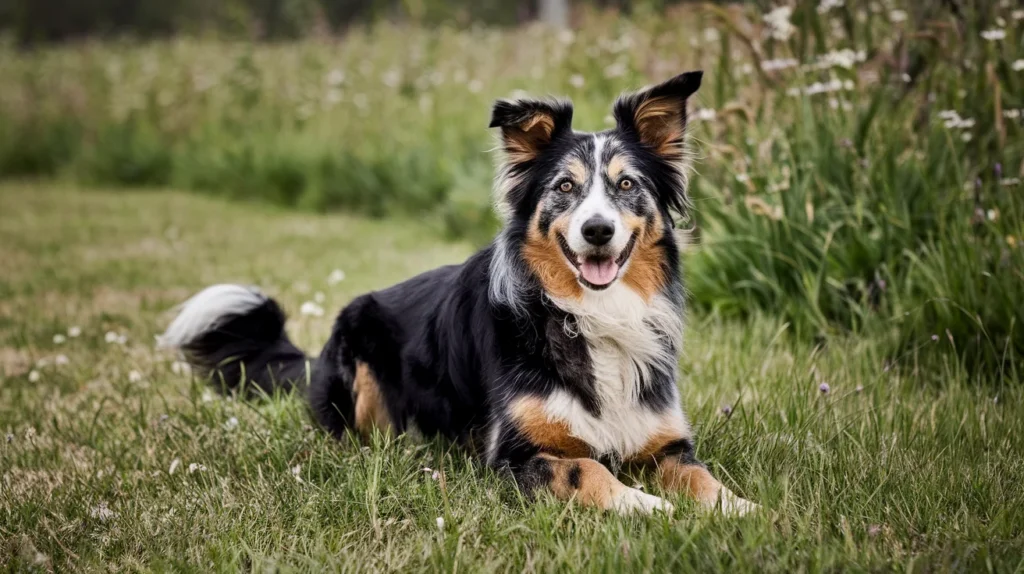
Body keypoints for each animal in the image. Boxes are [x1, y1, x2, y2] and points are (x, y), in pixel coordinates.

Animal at [155, 71, 757, 515]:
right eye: (565, 187)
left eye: (627, 184)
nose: (597, 231)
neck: (588, 314)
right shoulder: (511, 455)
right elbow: (585, 467)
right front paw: (643, 504)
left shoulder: (665, 441)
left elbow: (703, 478)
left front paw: (744, 511)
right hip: (357, 356)